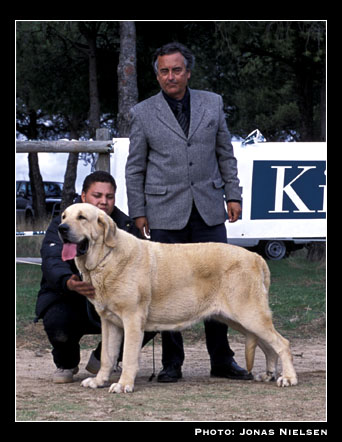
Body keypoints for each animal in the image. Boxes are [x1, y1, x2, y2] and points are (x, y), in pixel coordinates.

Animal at [58, 204, 296, 394]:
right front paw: (99, 381)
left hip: (250, 315)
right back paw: (268, 374)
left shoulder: (132, 320)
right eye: (63, 216)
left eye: (82, 217)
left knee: (282, 343)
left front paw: (124, 384)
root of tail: (257, 257)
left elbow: (128, 357)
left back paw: (288, 378)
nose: (61, 228)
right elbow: (108, 356)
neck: (106, 258)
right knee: (268, 345)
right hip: (240, 320)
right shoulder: (109, 323)